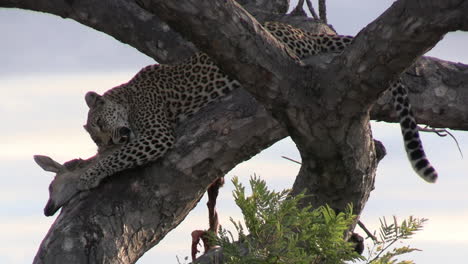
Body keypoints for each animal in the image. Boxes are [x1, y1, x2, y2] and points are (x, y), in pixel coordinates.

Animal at [77, 21, 438, 193]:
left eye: (98, 126)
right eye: (95, 136)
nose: (106, 142)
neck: (127, 94)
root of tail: (301, 32)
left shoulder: (156, 134)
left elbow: (121, 157)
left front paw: (87, 174)